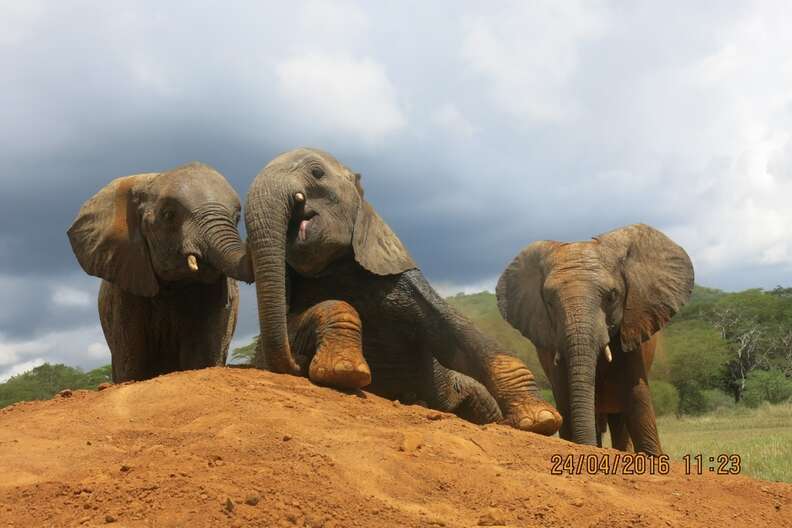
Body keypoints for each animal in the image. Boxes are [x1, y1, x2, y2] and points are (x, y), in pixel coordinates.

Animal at [244, 145, 560, 434]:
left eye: (317, 173)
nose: (297, 364)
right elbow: (282, 333)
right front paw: (344, 372)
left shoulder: (399, 278)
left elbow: (461, 336)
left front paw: (541, 420)